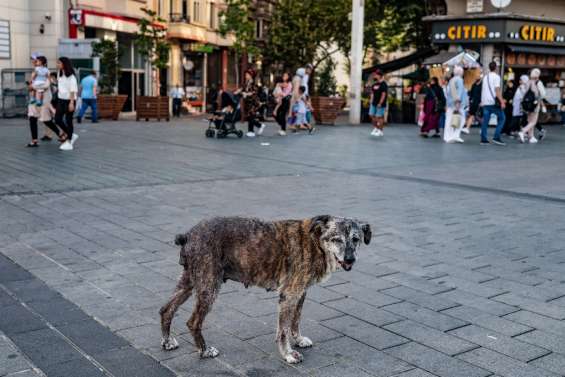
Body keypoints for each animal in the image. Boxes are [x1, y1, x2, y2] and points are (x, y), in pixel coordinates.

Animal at [159, 216, 370, 362]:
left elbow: (295, 321)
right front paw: (288, 354)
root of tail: (188, 235)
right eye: (336, 239)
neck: (315, 242)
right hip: (208, 287)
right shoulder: (289, 295)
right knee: (193, 322)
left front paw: (298, 340)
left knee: (166, 309)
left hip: (189, 282)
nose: (350, 259)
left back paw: (167, 342)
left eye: (356, 239)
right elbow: (283, 329)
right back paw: (204, 351)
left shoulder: (300, 293)